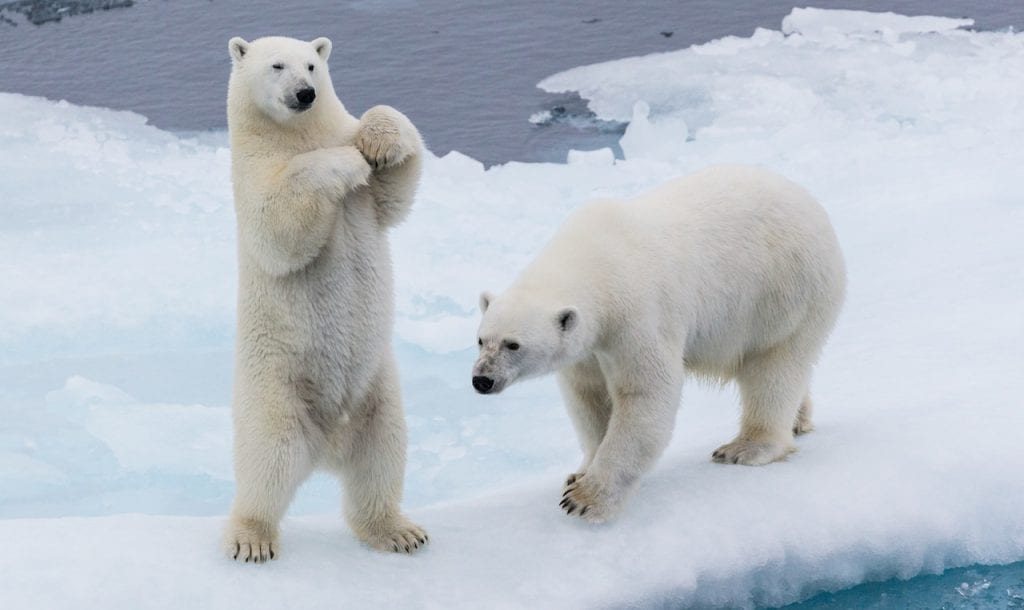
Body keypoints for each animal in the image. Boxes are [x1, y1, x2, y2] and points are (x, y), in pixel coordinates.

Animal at [223, 35, 427, 562]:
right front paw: (347, 162)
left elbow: (396, 192)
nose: (305, 93)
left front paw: (377, 142)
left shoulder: (369, 197)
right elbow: (279, 226)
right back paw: (251, 537)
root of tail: (328, 448)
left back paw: (398, 531)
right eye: (276, 66)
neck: (295, 135)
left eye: (312, 65)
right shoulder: (252, 174)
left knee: (381, 457)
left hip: (377, 393)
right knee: (267, 464)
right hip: (275, 391)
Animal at [472, 165, 846, 523]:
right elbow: (589, 396)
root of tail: (813, 206)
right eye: (481, 340)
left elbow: (645, 393)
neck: (595, 260)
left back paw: (745, 447)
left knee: (773, 367)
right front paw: (579, 473)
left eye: (513, 345)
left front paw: (585, 499)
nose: (481, 380)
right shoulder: (589, 345)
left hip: (784, 292)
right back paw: (799, 419)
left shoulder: (637, 313)